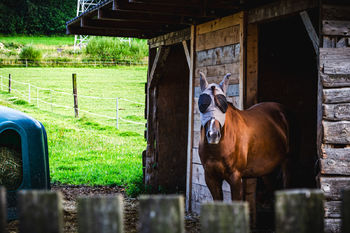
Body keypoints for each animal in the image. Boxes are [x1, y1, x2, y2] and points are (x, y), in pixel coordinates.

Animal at [197, 72, 290, 200]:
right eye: (203, 105)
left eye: (223, 106)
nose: (213, 135)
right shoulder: (211, 178)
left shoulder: (235, 178)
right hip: (267, 170)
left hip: (287, 164)